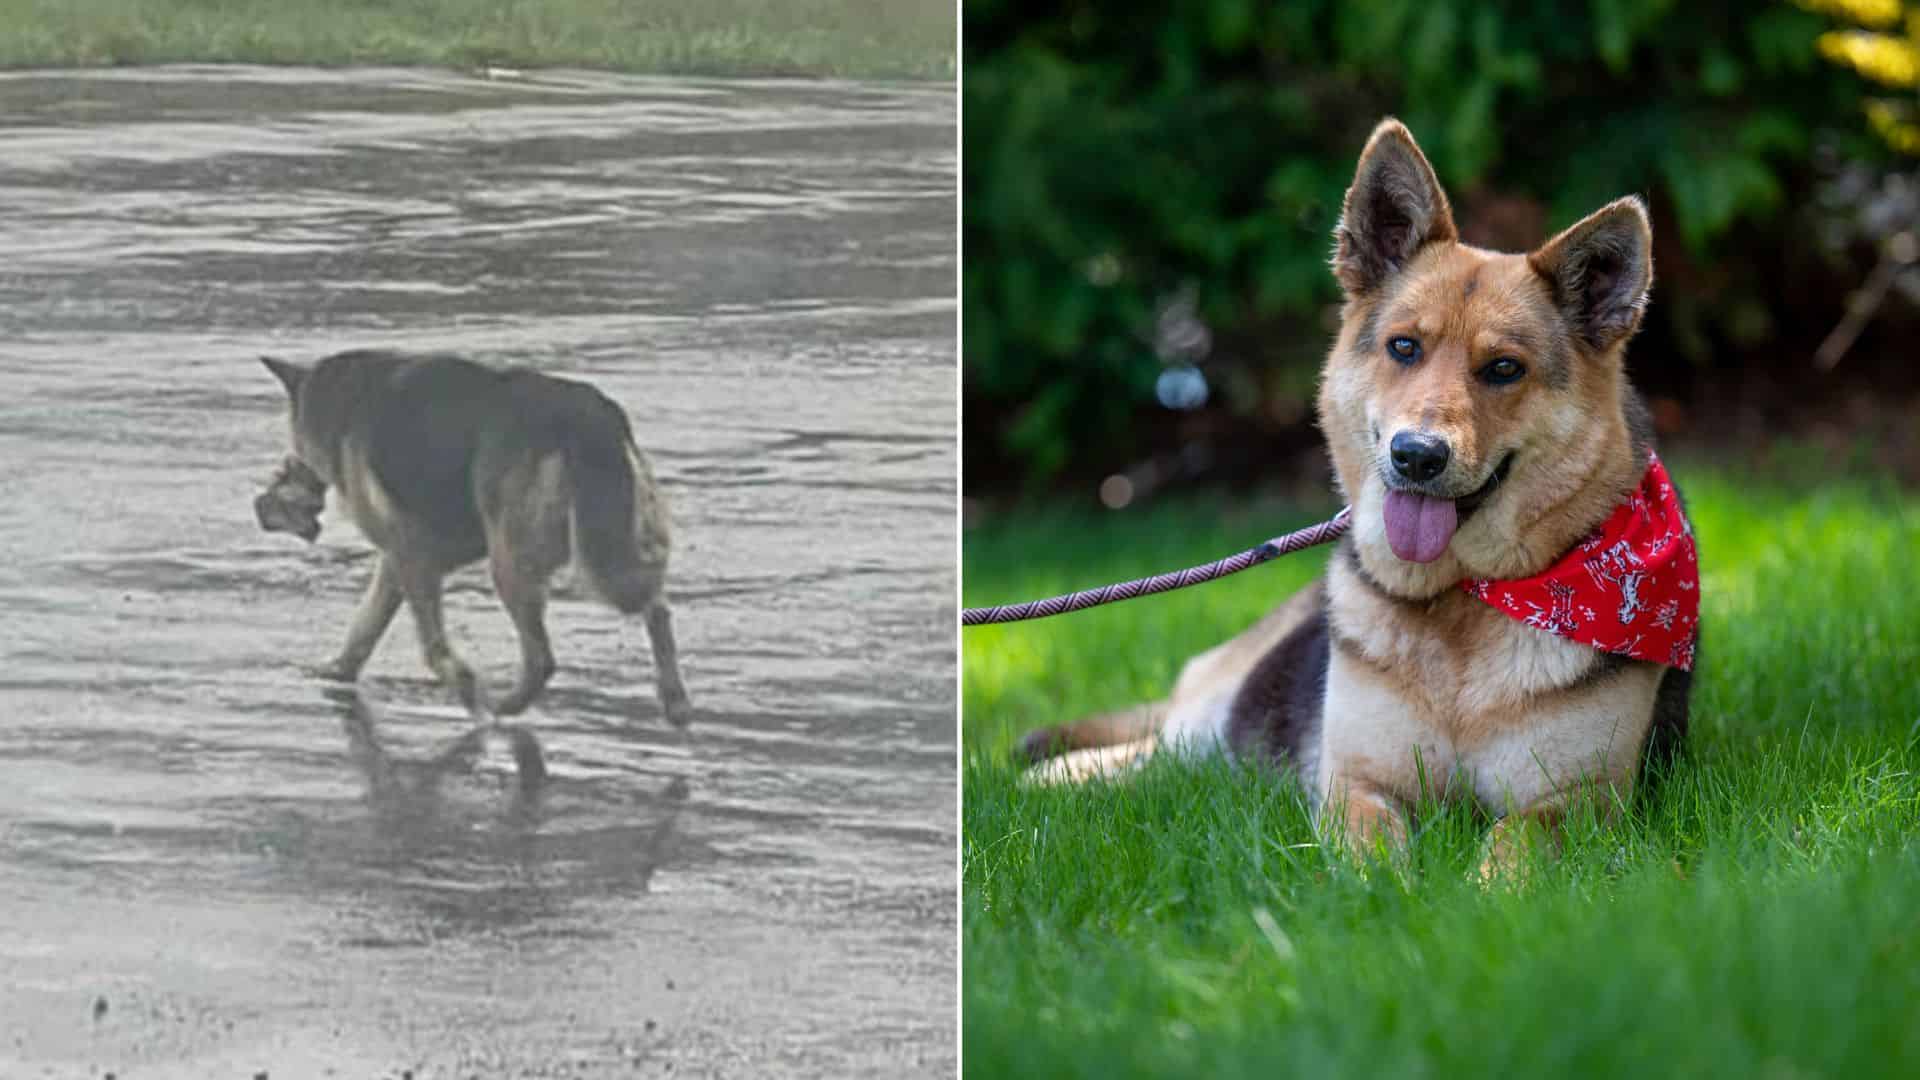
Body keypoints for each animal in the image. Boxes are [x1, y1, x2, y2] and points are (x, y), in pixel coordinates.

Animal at [255, 349, 691, 726]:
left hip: (515, 564)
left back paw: (503, 708)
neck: (343, 400)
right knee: (656, 607)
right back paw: (675, 701)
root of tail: (586, 417)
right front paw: (338, 672)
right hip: (611, 547)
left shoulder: (410, 556)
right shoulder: (403, 559)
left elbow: (431, 645)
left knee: (543, 657)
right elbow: (365, 627)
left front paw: (464, 687)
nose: (265, 503)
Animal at [1021, 119, 1697, 876]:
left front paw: (1484, 893)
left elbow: (1515, 849)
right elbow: (1372, 851)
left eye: (1504, 369)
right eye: (1403, 348)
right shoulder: (1356, 783)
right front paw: (1392, 893)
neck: (1460, 601)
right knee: (1155, 747)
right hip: (1209, 720)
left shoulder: (1578, 803)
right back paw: (1052, 777)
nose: (1417, 456)